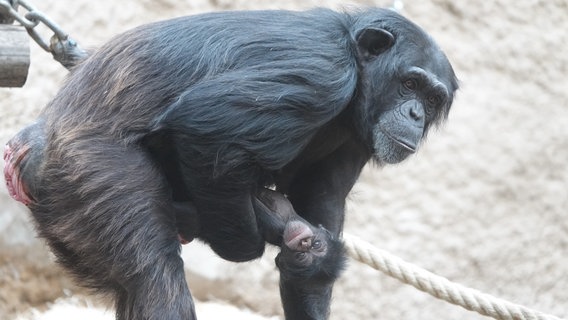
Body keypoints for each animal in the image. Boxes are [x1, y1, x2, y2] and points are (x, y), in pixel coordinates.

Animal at [3, 6, 458, 320]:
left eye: (433, 98)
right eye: (410, 83)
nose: (416, 113)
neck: (359, 79)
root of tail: (26, 150)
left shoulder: (355, 140)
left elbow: (322, 205)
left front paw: (308, 254)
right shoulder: (321, 73)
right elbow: (206, 127)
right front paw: (254, 235)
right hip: (90, 168)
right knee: (153, 276)